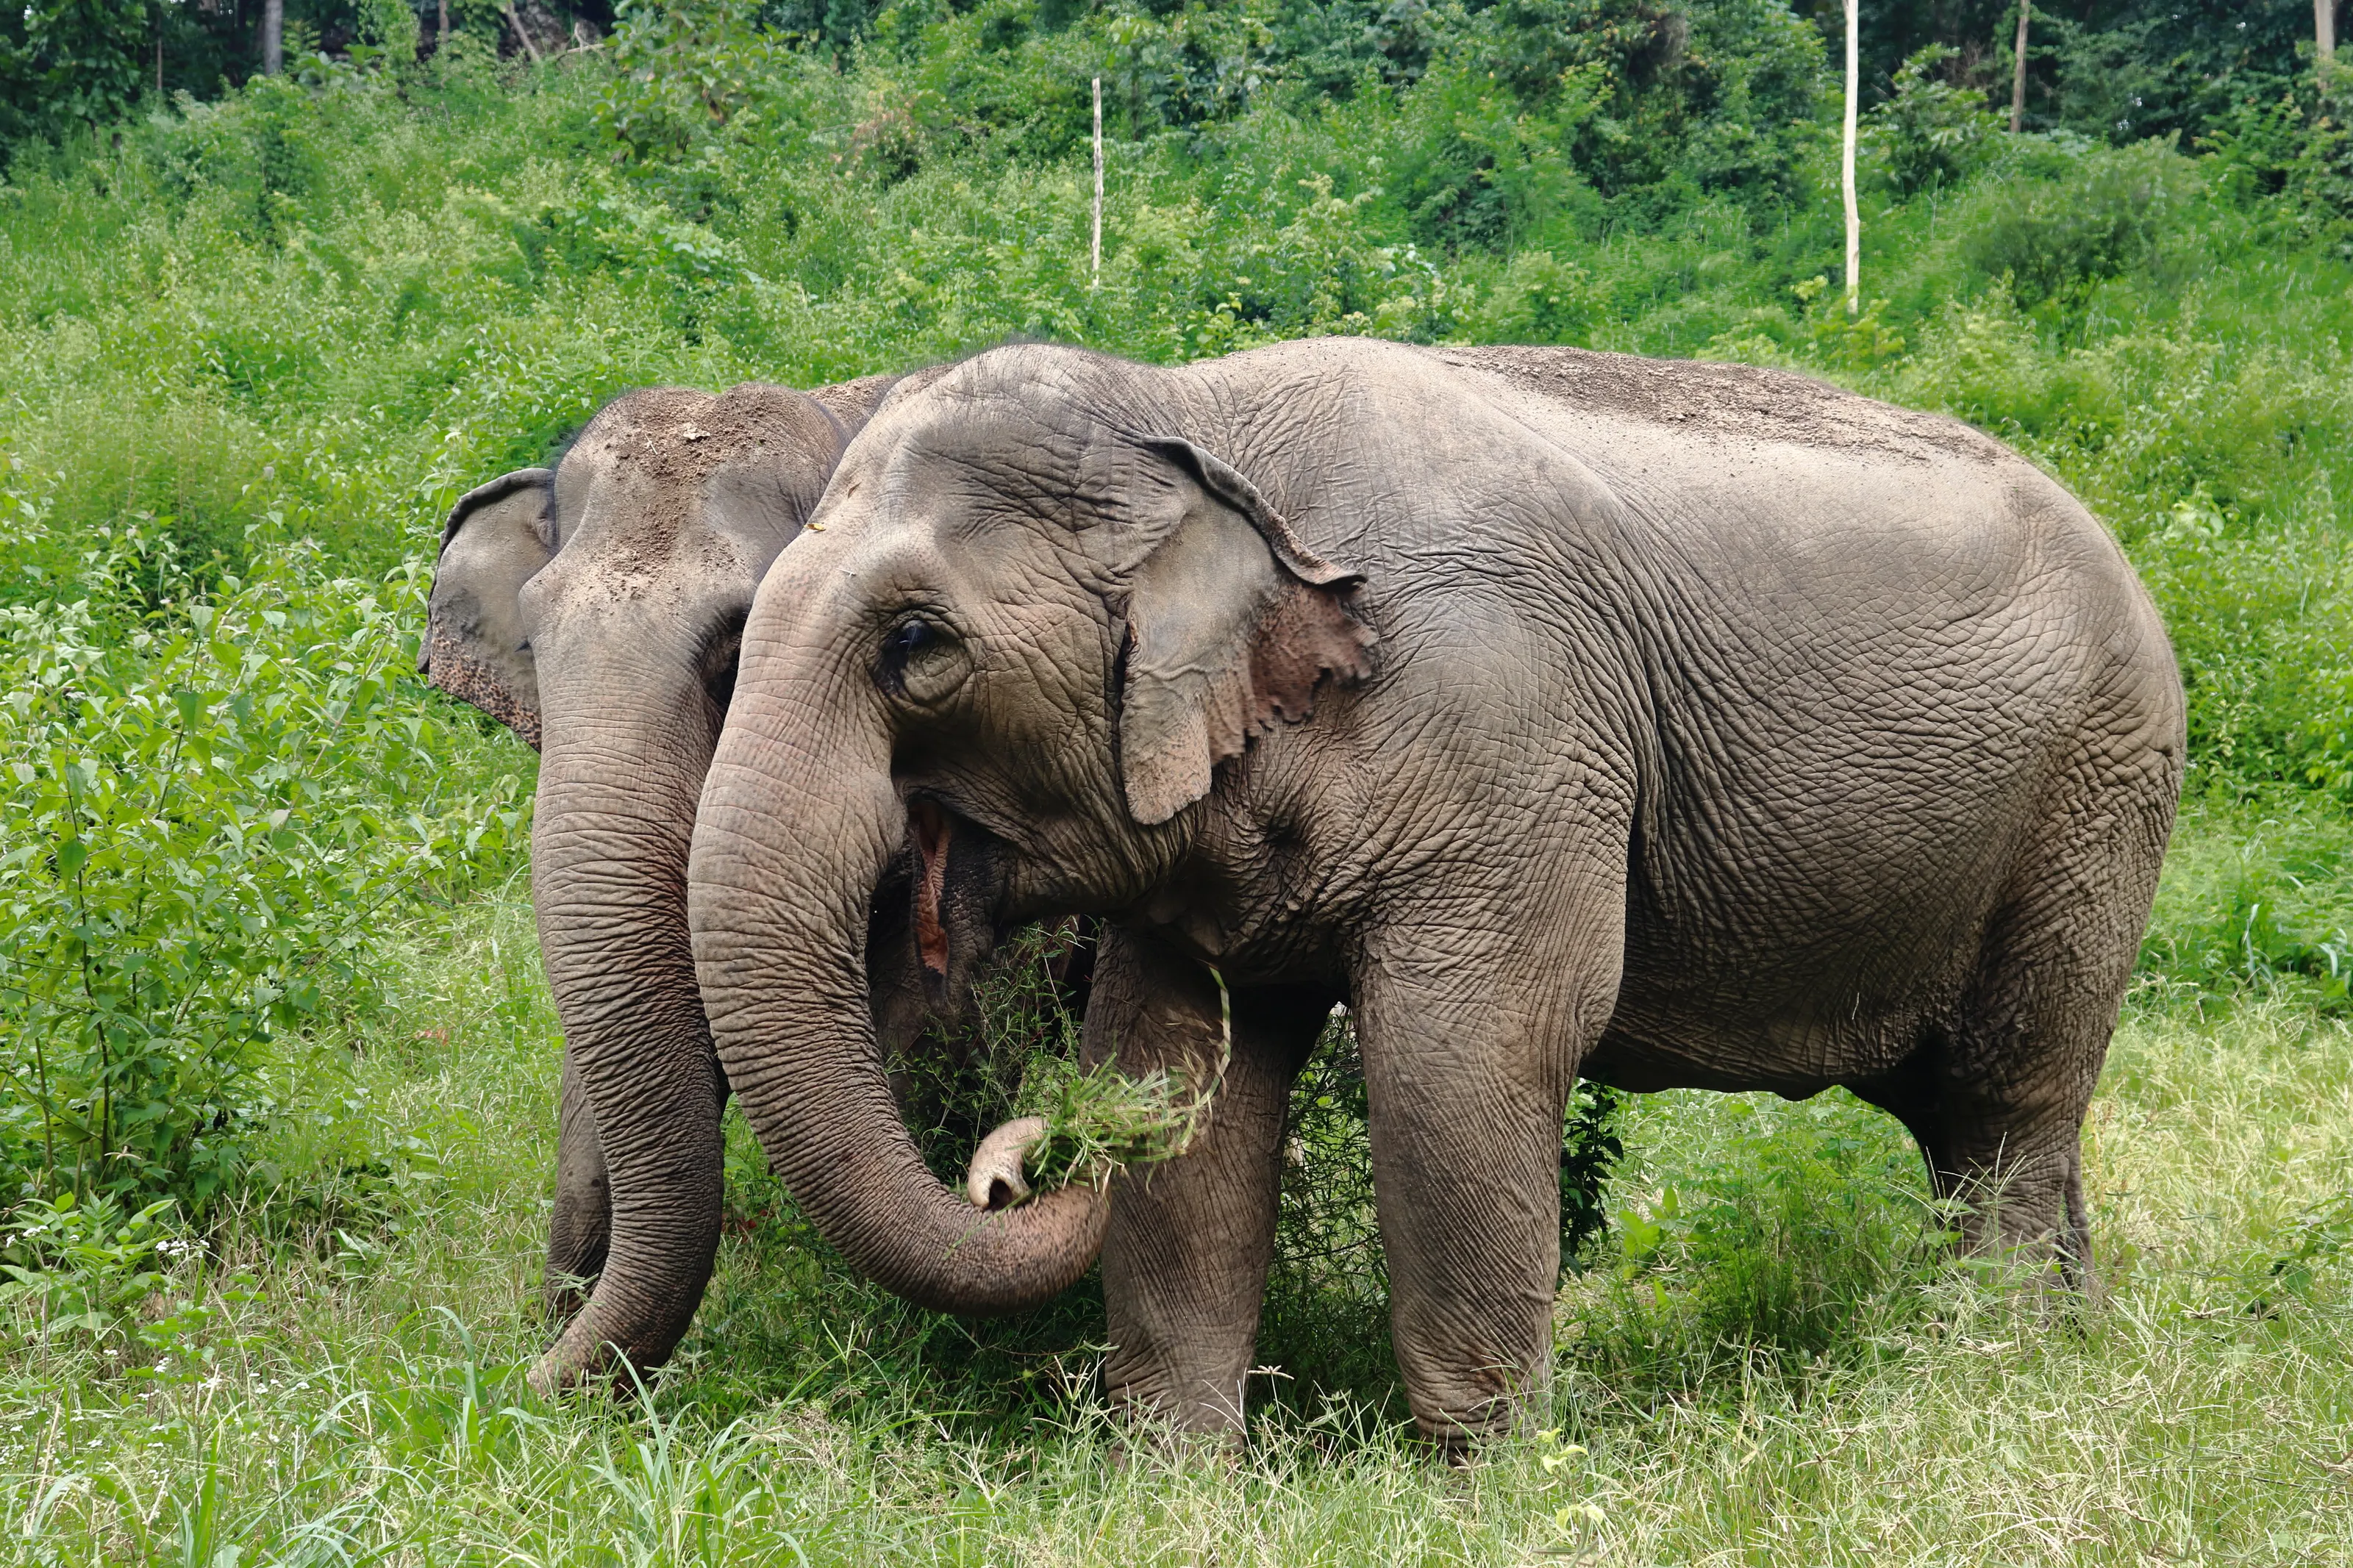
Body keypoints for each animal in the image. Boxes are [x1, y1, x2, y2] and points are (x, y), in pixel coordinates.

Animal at [684, 337, 2184, 1450]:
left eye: (916, 644)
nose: (1017, 1160)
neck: (1195, 413)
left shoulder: (1510, 724)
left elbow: (1466, 1057)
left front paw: (1484, 1482)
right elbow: (1180, 1067)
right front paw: (1175, 1480)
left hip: (2098, 804)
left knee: (2003, 1102)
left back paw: (1986, 1377)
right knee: (1975, 1122)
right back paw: (2068, 1356)